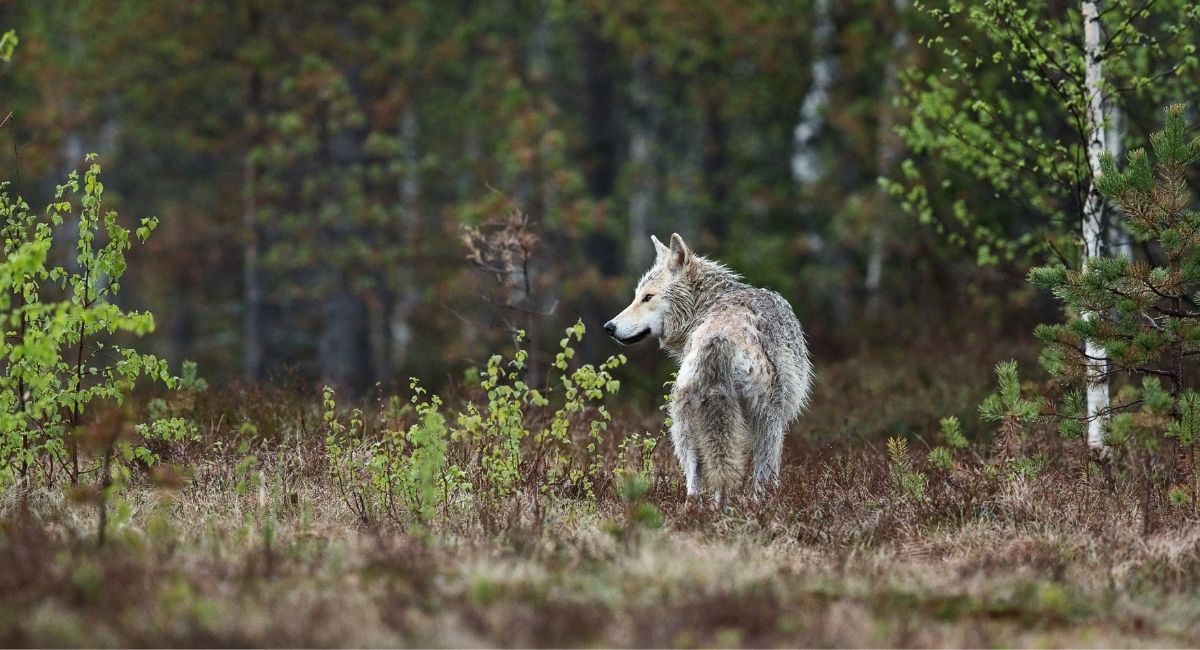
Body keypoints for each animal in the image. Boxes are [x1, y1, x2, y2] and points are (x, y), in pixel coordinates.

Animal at [604, 233, 813, 504]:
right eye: (638, 296)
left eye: (647, 297)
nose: (608, 327)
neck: (707, 303)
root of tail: (719, 339)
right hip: (766, 422)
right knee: (757, 477)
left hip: (684, 425)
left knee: (696, 482)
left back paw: (699, 510)